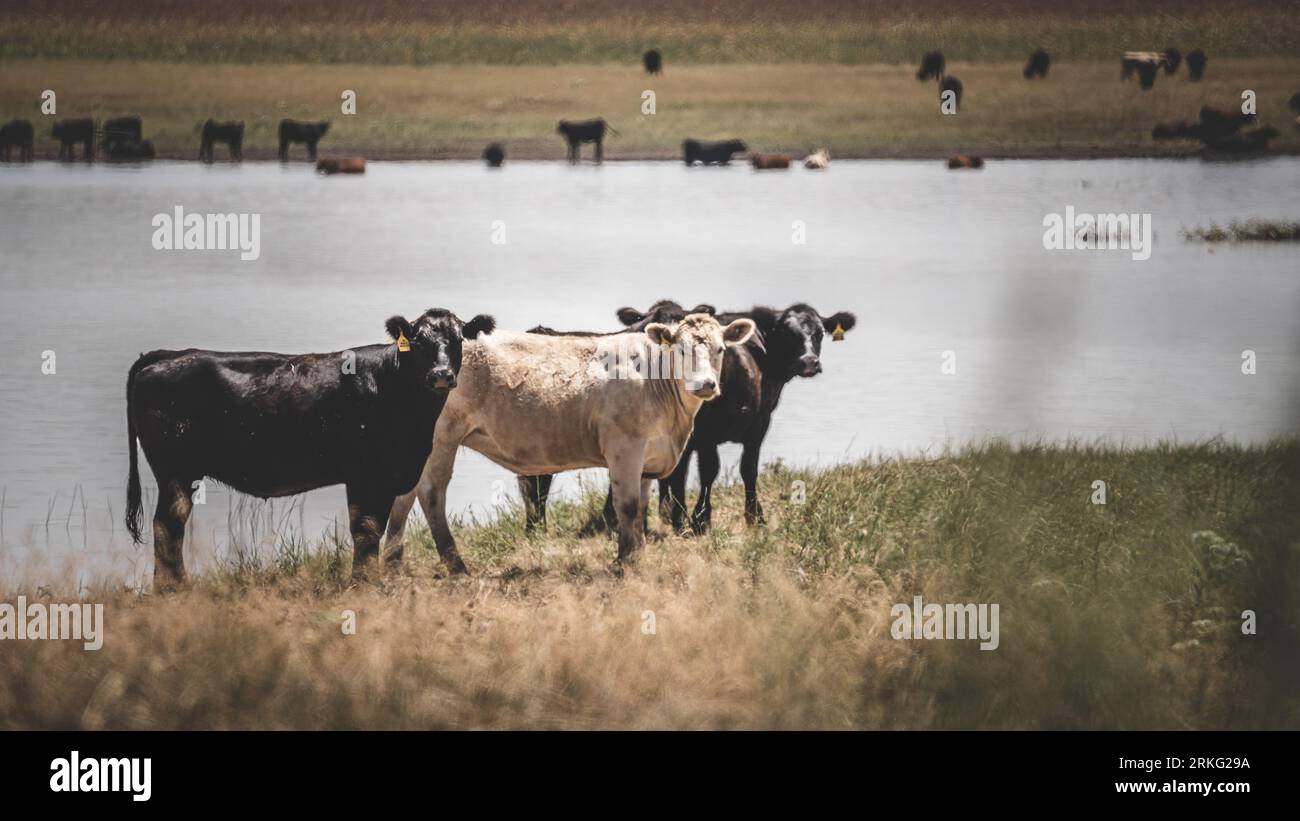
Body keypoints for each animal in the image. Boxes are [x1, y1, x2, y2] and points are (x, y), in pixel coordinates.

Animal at [124, 308, 495, 589]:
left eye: (458, 339)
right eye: (418, 341)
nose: (441, 374)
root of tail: (169, 355)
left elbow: (370, 529)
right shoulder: (366, 475)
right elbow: (366, 529)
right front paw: (365, 584)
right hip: (175, 470)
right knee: (168, 524)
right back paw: (174, 588)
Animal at [382, 313, 758, 572]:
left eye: (720, 349)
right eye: (680, 350)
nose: (706, 384)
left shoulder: (647, 456)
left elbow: (641, 508)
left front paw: (638, 554)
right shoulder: (625, 447)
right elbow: (627, 506)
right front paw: (625, 561)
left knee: (405, 493)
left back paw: (392, 561)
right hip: (442, 437)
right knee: (430, 494)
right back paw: (456, 566)